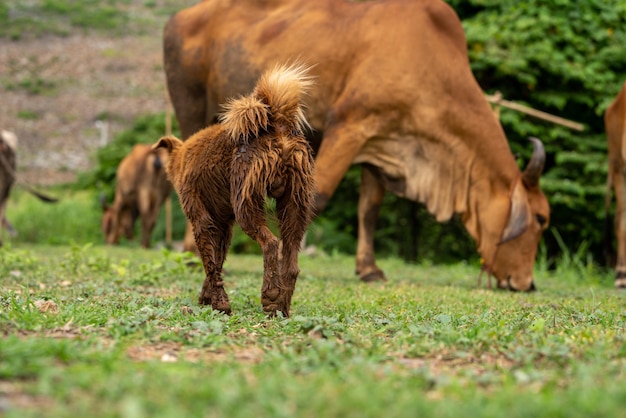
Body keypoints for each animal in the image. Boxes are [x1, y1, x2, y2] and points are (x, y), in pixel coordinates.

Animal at [154, 62, 314, 316]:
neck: (182, 159)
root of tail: (276, 124)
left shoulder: (200, 221)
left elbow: (210, 265)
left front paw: (219, 303)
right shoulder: (223, 226)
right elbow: (217, 263)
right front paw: (208, 297)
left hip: (246, 205)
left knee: (271, 243)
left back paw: (269, 295)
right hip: (294, 208)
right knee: (291, 261)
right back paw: (281, 308)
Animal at [163, 0, 548, 290]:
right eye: (541, 219)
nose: (527, 284)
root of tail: (182, 16)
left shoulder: (383, 145)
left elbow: (369, 209)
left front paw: (369, 269)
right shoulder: (349, 127)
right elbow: (317, 196)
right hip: (192, 109)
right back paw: (191, 251)